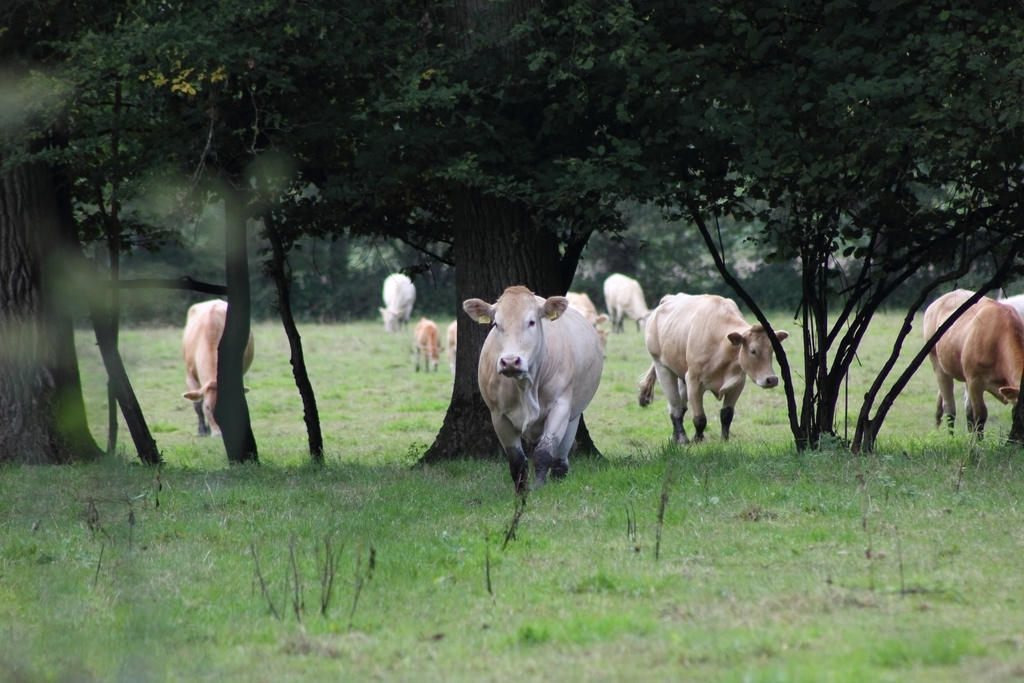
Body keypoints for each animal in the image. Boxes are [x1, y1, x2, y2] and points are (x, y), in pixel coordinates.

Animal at [462, 286, 602, 493]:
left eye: (531, 321)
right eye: (496, 324)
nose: (510, 361)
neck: (526, 387)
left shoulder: (560, 407)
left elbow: (544, 451)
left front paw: (538, 486)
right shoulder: (498, 415)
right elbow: (517, 460)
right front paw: (521, 491)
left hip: (574, 415)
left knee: (560, 457)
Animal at [634, 294, 786, 444]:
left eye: (772, 350)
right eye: (753, 351)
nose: (771, 379)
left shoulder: (737, 384)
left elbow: (727, 414)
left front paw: (724, 440)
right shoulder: (693, 381)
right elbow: (699, 418)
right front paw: (697, 440)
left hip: (681, 376)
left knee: (678, 407)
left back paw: (675, 438)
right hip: (662, 368)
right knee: (675, 408)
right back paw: (682, 439)